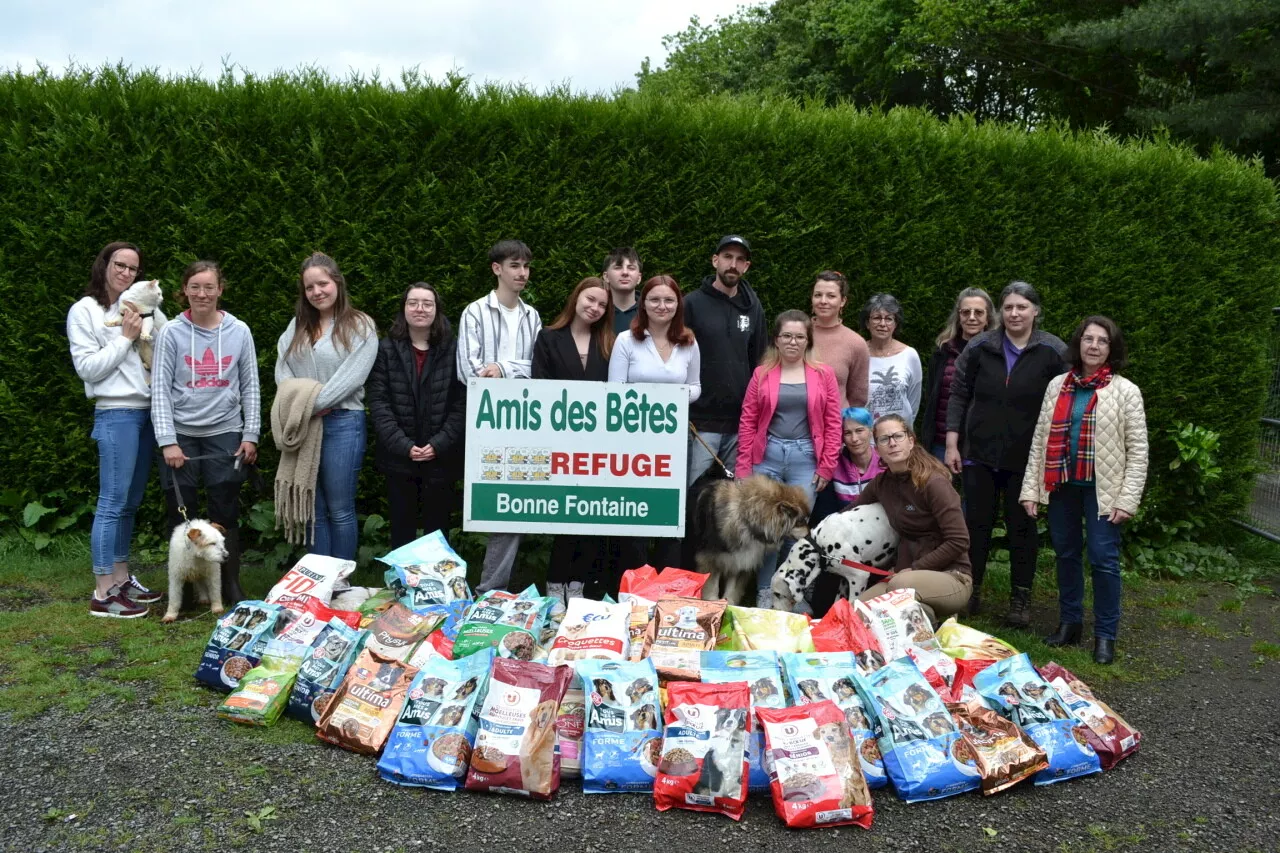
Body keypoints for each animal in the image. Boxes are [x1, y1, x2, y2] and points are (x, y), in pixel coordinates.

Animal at [768, 499, 901, 612]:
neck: (820, 546)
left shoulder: (859, 577)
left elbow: (852, 603)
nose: (772, 609)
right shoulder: (845, 580)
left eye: (778, 594)